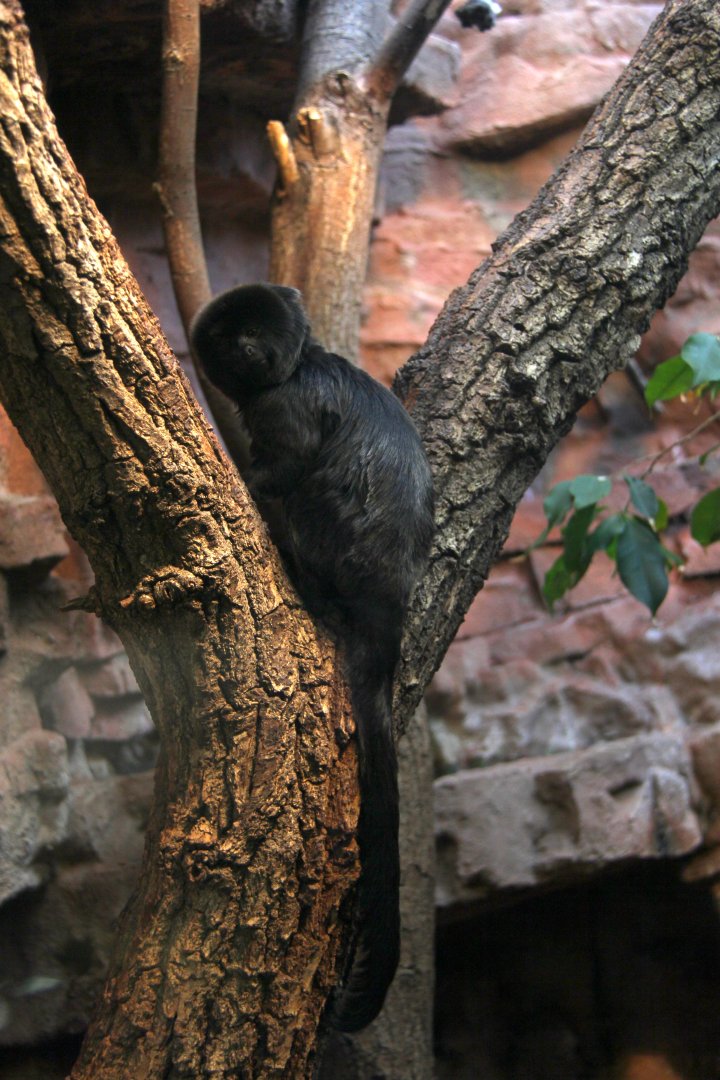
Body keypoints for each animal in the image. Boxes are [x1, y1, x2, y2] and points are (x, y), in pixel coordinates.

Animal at [190, 284, 434, 1032]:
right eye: (231, 333)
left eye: (256, 330)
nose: (246, 347)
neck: (302, 364)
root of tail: (387, 604)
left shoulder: (285, 405)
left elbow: (288, 463)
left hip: (336, 538)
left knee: (303, 496)